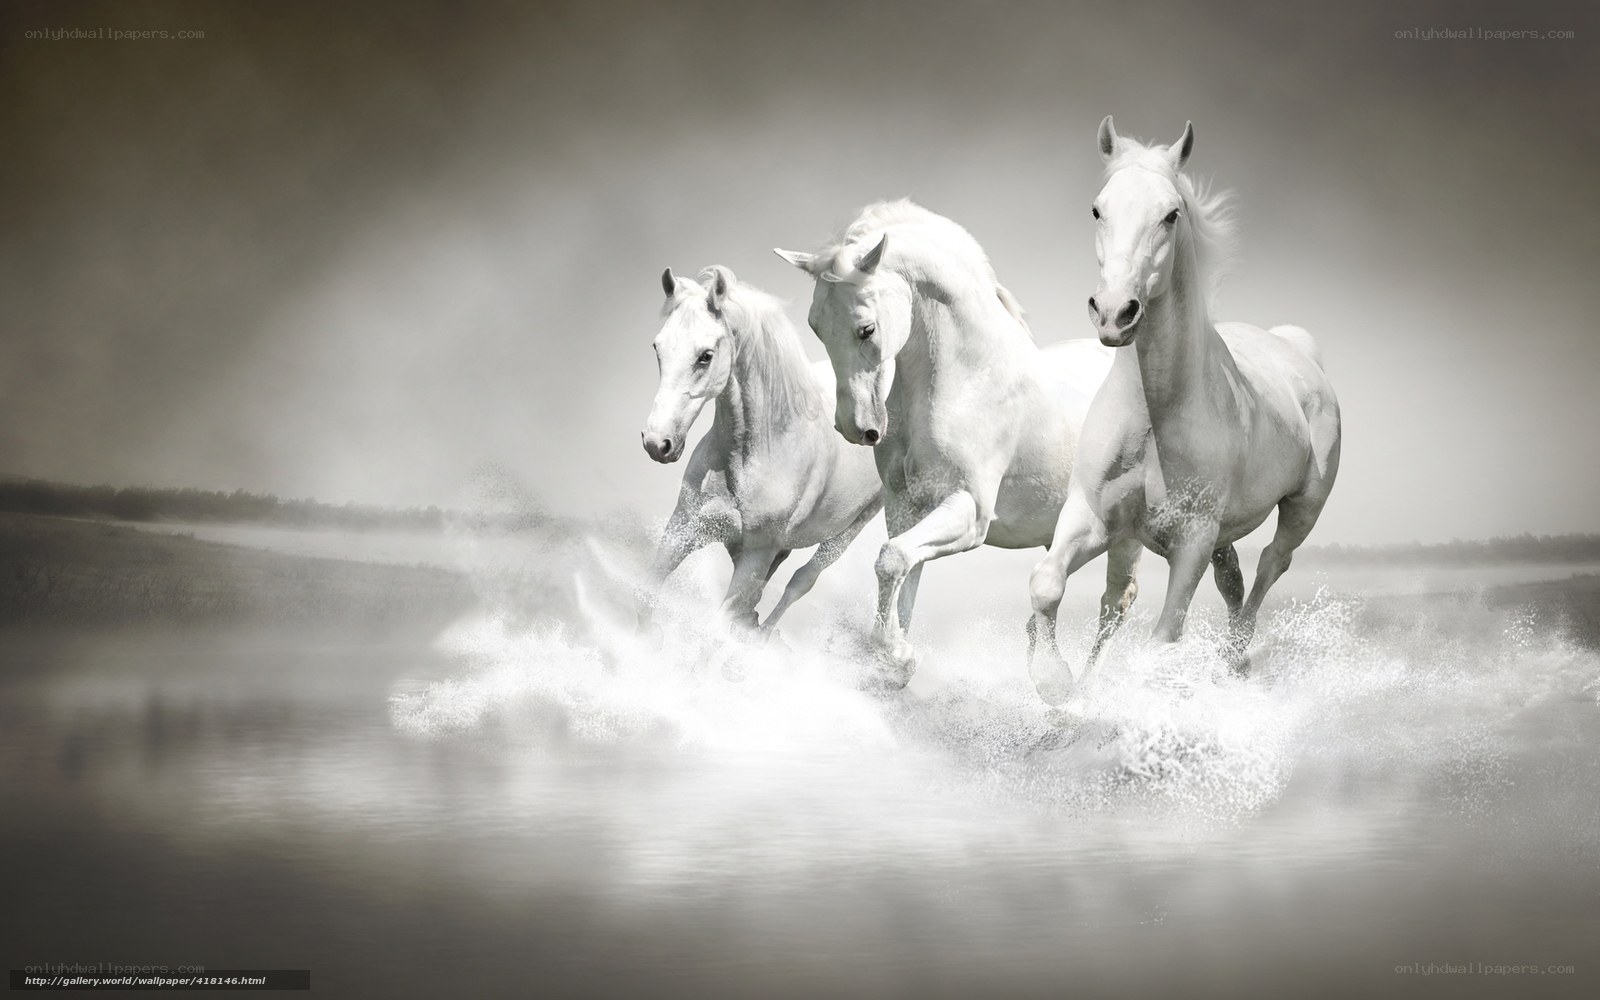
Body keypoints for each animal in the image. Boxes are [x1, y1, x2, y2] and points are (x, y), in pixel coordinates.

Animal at [638, 265, 884, 641]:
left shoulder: (755, 555)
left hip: (850, 530)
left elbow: (714, 632)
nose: (657, 443)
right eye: (657, 347)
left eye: (705, 355)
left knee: (801, 581)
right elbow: (646, 599)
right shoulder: (684, 527)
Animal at [774, 201, 1139, 688]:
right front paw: (894, 661)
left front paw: (897, 656)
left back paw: (1075, 690)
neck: (968, 379)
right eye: (815, 327)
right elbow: (903, 574)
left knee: (1116, 602)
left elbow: (891, 560)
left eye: (866, 329)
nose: (856, 428)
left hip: (1125, 534)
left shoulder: (969, 511)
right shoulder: (906, 508)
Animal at [1026, 117, 1342, 703]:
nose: (1114, 313)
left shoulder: (1191, 541)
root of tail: (1298, 352)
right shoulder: (1092, 517)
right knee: (1232, 579)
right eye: (1098, 209)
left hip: (1302, 507)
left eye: (1171, 214)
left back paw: (1234, 659)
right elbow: (1047, 584)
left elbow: (1164, 637)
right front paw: (1056, 684)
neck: (1155, 414)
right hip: (1223, 535)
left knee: (1271, 564)